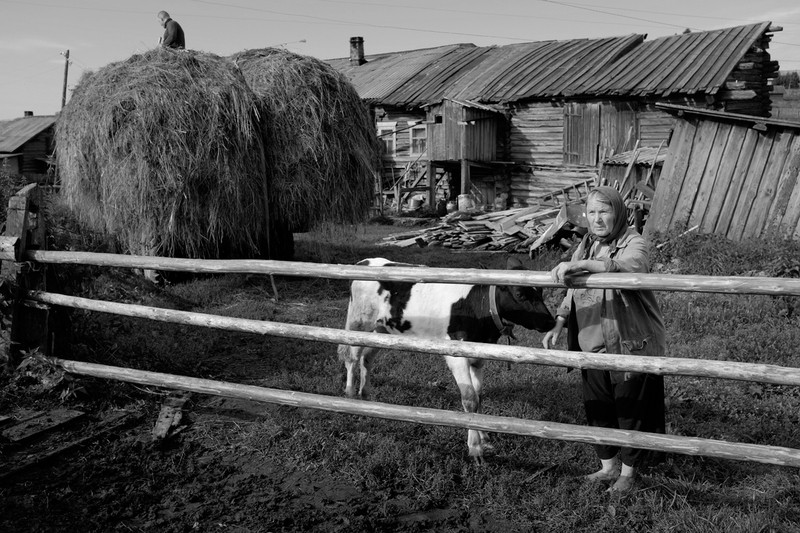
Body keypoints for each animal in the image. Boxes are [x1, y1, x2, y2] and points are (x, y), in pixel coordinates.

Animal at [338, 256, 556, 460]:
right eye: (520, 293)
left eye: (541, 291)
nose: (551, 322)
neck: (479, 307)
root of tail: (364, 262)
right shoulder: (456, 355)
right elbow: (469, 399)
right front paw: (474, 447)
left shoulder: (479, 356)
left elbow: (479, 395)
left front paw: (484, 437)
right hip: (359, 322)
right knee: (352, 356)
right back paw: (350, 394)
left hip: (382, 329)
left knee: (367, 358)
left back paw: (366, 396)